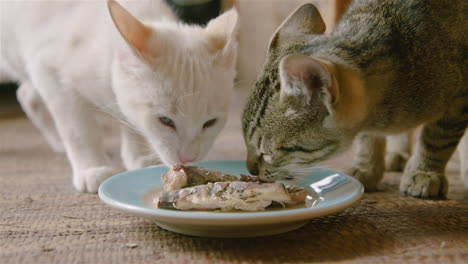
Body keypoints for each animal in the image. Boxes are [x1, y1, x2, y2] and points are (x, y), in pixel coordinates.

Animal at [0, 1, 239, 193]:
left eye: (210, 123)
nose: (188, 158)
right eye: (165, 121)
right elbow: (78, 129)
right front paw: (92, 169)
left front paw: (139, 157)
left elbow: (132, 124)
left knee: (26, 95)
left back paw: (58, 142)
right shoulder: (49, 71)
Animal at [243, 0, 466, 198]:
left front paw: (425, 171)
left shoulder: (459, 101)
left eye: (267, 151)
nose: (250, 170)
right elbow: (368, 138)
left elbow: (437, 139)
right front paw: (367, 167)